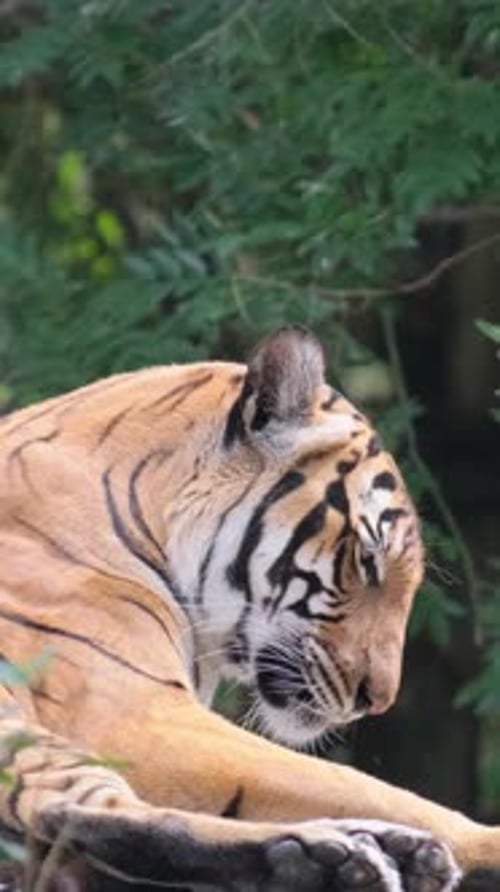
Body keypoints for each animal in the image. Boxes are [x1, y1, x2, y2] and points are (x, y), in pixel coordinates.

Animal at [0, 326, 498, 892]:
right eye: (367, 561)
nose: (376, 701)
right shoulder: (136, 712)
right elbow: (362, 784)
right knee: (76, 816)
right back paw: (336, 857)